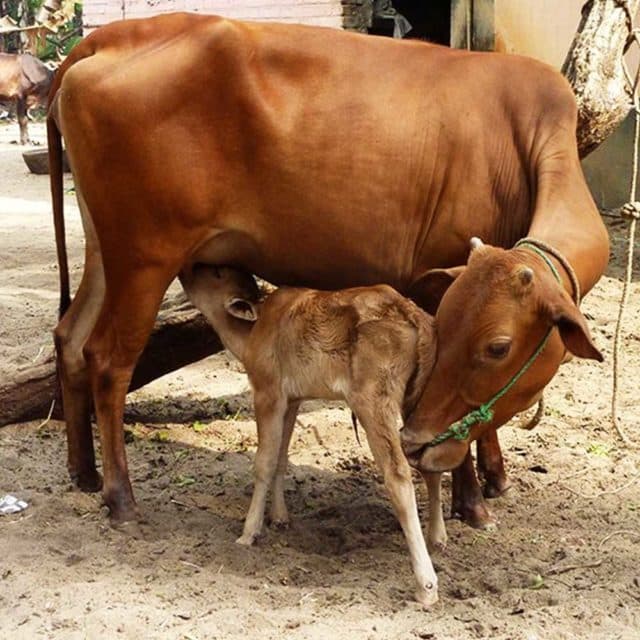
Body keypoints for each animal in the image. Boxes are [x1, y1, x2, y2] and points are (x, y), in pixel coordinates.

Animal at [48, 13, 608, 530]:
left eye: (497, 348)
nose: (417, 444)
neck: (525, 140)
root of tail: (108, 38)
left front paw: (495, 476)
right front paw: (470, 497)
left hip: (106, 250)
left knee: (70, 337)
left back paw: (83, 472)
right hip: (145, 257)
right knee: (109, 360)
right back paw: (121, 496)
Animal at [181, 265, 446, 606]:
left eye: (216, 272)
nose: (186, 269)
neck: (252, 333)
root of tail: (410, 312)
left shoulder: (267, 392)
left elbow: (264, 462)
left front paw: (248, 532)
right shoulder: (293, 399)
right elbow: (282, 457)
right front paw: (280, 518)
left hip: (373, 400)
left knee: (398, 475)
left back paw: (426, 585)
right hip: (420, 396)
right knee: (432, 460)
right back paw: (438, 537)